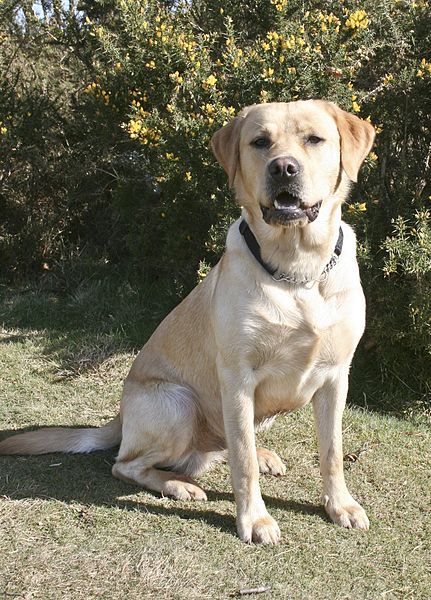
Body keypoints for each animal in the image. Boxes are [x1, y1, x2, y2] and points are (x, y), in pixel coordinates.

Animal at [0, 99, 374, 544]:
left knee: (225, 445)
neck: (298, 271)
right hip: (179, 403)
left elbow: (331, 451)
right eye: (259, 142)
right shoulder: (237, 378)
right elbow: (243, 463)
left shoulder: (336, 377)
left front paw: (341, 506)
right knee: (127, 464)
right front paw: (255, 519)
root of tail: (120, 418)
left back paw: (260, 456)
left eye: (314, 139)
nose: (283, 168)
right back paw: (179, 485)